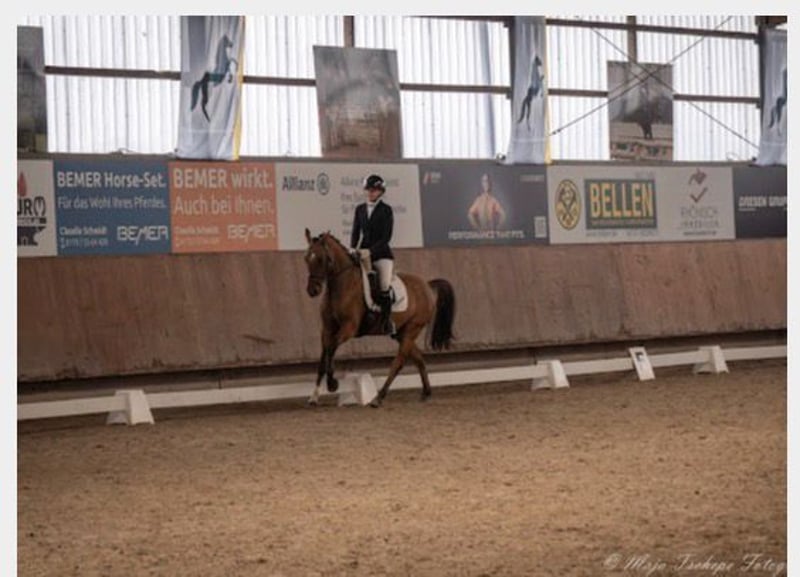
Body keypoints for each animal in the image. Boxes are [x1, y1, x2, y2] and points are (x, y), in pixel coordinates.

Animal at [303, 229, 456, 408]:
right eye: (306, 258)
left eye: (321, 259)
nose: (313, 290)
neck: (340, 286)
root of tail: (426, 285)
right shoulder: (326, 329)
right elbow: (324, 357)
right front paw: (314, 396)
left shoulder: (349, 328)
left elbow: (332, 348)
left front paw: (332, 383)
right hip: (401, 333)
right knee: (418, 359)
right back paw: (426, 393)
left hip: (413, 328)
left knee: (399, 362)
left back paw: (379, 397)